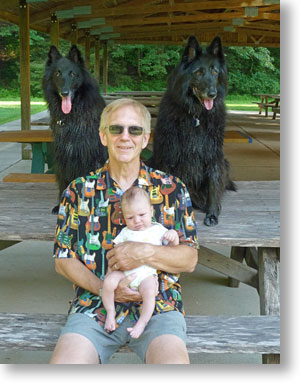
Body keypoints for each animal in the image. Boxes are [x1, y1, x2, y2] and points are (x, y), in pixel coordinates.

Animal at [151, 35, 236, 225]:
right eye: (198, 72)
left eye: (215, 72)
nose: (212, 93)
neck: (196, 116)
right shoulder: (170, 155)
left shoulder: (213, 155)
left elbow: (214, 183)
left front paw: (212, 212)